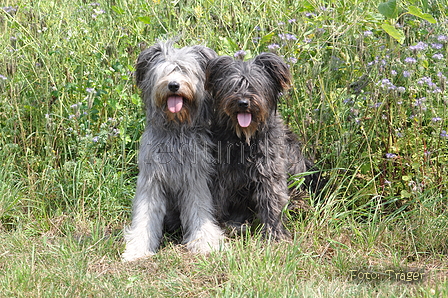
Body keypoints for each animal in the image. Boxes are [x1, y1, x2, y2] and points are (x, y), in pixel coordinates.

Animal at [122, 41, 224, 260]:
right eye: (165, 71)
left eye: (184, 70)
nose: (173, 85)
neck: (175, 129)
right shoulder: (151, 179)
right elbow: (145, 215)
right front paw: (138, 249)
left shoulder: (195, 179)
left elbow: (199, 210)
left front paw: (205, 243)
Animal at [205, 53, 314, 240]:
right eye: (233, 87)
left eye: (254, 85)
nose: (243, 102)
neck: (244, 138)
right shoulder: (222, 174)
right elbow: (218, 199)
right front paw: (219, 226)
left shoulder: (270, 171)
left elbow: (272, 200)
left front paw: (274, 233)